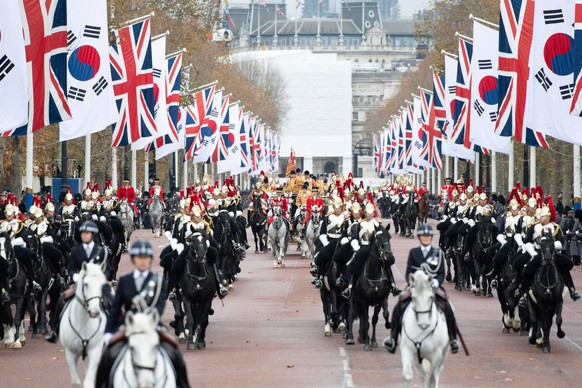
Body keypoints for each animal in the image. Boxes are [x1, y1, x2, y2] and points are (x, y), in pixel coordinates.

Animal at [60, 260, 108, 388]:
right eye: (86, 284)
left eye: (102, 285)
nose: (94, 312)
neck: (83, 323)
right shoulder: (70, 353)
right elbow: (76, 382)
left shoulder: (95, 351)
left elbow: (89, 381)